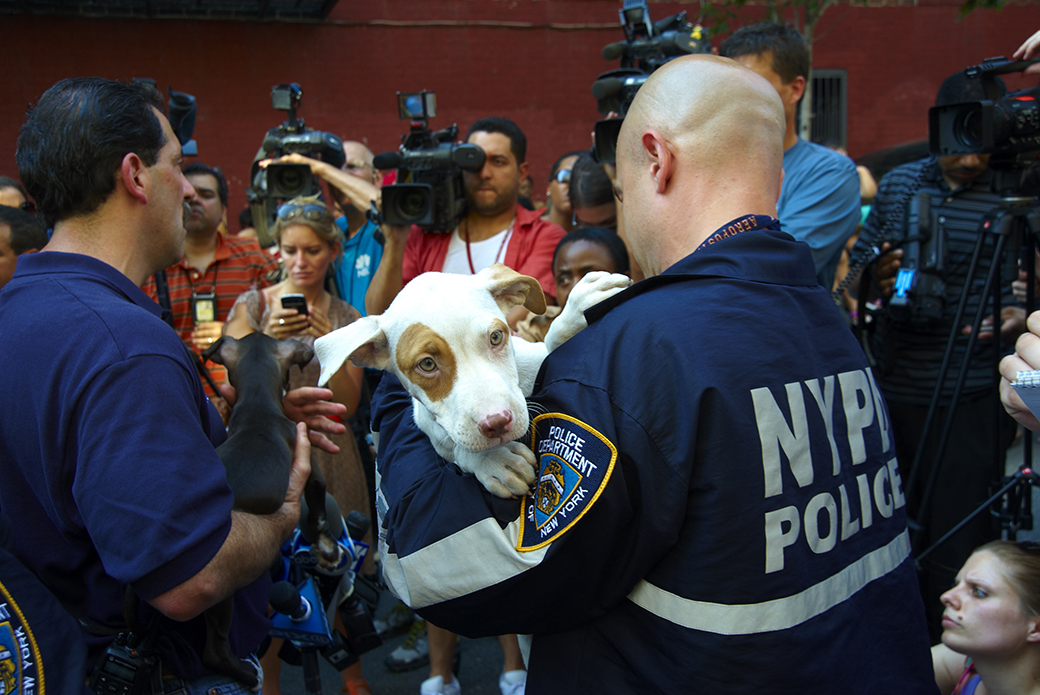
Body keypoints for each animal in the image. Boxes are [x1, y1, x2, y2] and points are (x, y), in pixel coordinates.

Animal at [312, 263, 628, 497]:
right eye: (427, 364)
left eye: (496, 337)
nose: (497, 423)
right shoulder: (430, 425)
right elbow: (455, 445)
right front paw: (494, 460)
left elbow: (550, 343)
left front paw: (575, 312)